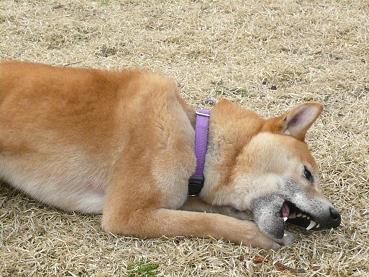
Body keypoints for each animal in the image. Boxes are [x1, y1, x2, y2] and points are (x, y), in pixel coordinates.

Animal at [0, 60, 340, 248]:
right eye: (307, 174)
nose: (336, 217)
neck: (197, 140)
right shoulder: (126, 214)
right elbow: (204, 222)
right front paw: (257, 235)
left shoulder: (182, 195)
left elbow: (205, 209)